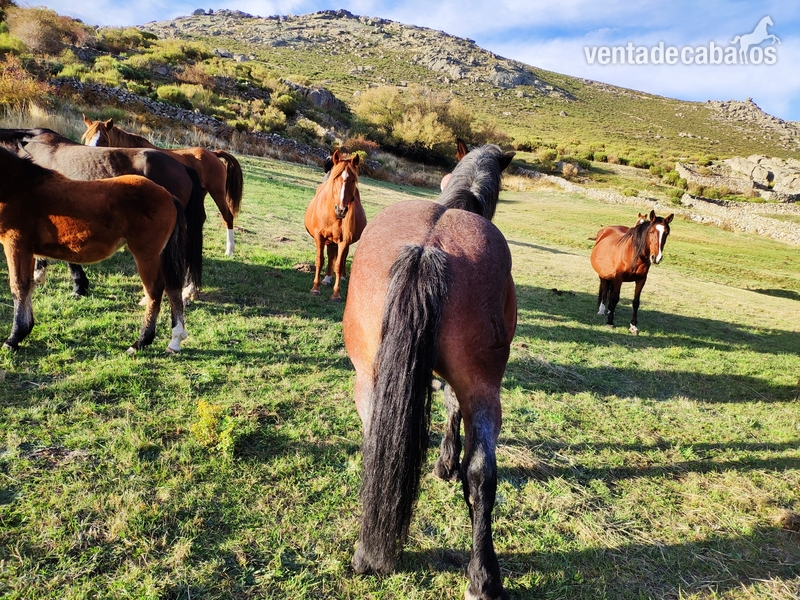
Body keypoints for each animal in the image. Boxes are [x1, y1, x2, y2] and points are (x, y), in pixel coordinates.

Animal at [0, 147, 202, 353]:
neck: (18, 186)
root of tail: (169, 196)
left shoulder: (16, 245)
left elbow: (19, 287)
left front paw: (14, 338)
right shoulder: (27, 250)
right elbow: (28, 286)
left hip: (147, 255)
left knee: (154, 291)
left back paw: (141, 341)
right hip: (161, 255)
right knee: (172, 288)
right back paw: (175, 340)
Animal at [81, 117, 243, 256]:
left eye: (103, 139)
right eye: (87, 138)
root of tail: (213, 153)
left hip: (217, 193)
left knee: (227, 216)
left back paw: (229, 250)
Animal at [304, 150, 366, 302]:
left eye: (353, 180)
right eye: (335, 178)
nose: (341, 209)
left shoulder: (344, 240)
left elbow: (338, 264)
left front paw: (336, 294)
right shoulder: (319, 237)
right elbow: (320, 260)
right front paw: (315, 288)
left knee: (341, 258)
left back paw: (341, 277)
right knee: (331, 254)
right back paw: (326, 279)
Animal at [342, 144, 516, 600]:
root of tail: (427, 246)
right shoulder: (463, 386)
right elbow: (451, 407)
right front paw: (445, 462)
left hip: (369, 380)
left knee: (378, 447)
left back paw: (367, 554)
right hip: (484, 389)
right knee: (481, 473)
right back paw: (483, 577)